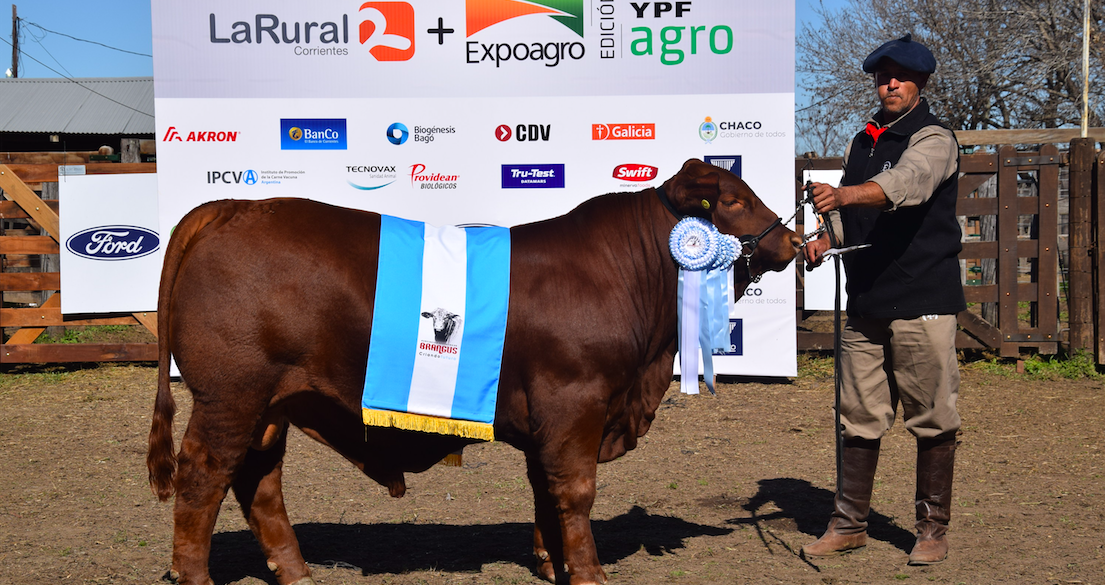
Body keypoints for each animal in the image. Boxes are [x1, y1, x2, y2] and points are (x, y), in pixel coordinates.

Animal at [149, 158, 804, 583]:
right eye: (734, 201)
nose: (794, 241)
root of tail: (233, 206)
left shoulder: (548, 419)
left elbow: (544, 489)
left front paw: (551, 562)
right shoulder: (576, 402)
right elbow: (575, 492)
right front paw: (587, 571)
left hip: (268, 405)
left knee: (258, 481)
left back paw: (297, 572)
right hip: (230, 395)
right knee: (203, 478)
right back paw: (196, 576)